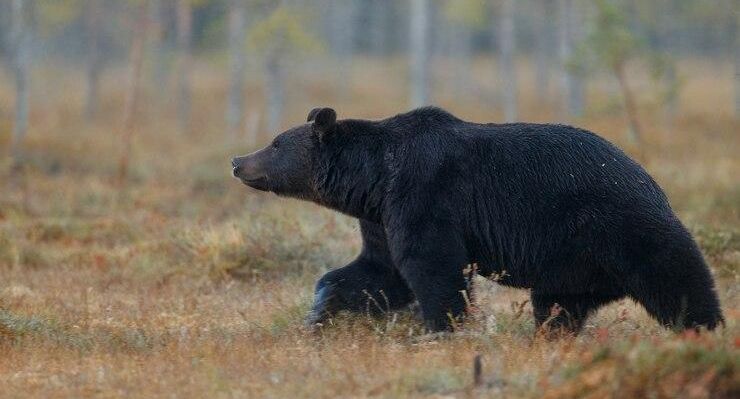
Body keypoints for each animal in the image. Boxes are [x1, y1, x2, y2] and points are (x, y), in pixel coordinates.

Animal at [231, 106, 724, 334]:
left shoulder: (426, 192)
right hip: (570, 264)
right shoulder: (382, 215)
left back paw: (706, 329)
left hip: (616, 223)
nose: (237, 160)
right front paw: (318, 313)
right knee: (558, 306)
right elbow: (378, 271)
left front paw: (442, 329)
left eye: (275, 142)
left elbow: (432, 267)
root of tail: (652, 180)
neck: (374, 178)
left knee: (677, 277)